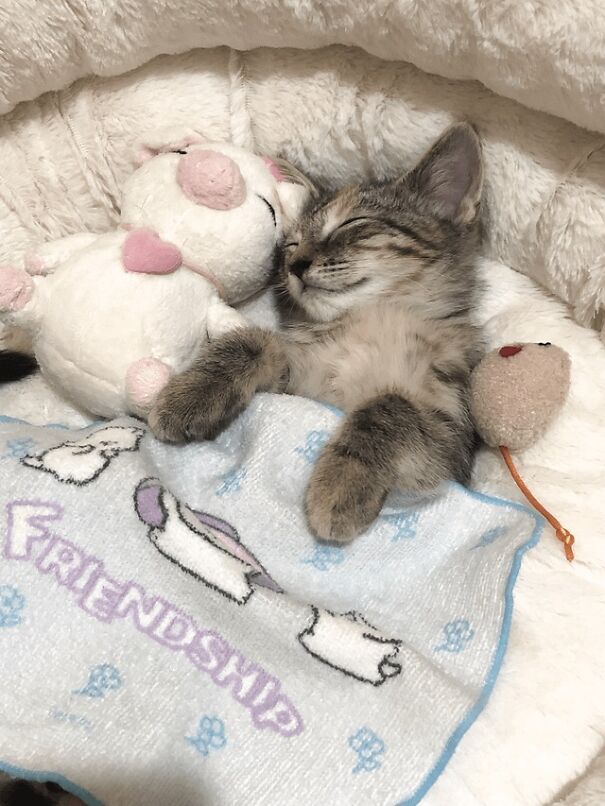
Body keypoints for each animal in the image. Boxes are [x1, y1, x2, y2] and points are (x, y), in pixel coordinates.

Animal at [151, 124, 486, 544]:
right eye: (291, 244)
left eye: (351, 224)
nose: (295, 265)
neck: (369, 322)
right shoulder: (296, 385)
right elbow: (257, 341)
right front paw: (190, 393)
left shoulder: (450, 438)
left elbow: (391, 404)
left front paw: (343, 482)